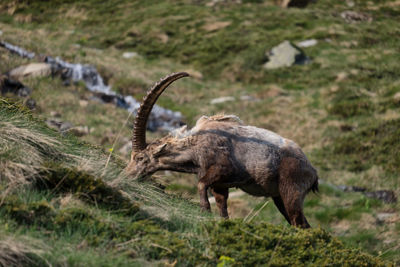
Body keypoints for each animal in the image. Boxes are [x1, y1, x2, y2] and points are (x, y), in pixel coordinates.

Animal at [125, 71, 318, 228]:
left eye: (140, 158)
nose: (127, 175)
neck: (196, 146)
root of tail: (312, 172)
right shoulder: (220, 185)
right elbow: (222, 208)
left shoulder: (224, 170)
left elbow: (201, 183)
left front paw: (205, 211)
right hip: (278, 197)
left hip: (291, 191)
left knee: (300, 224)